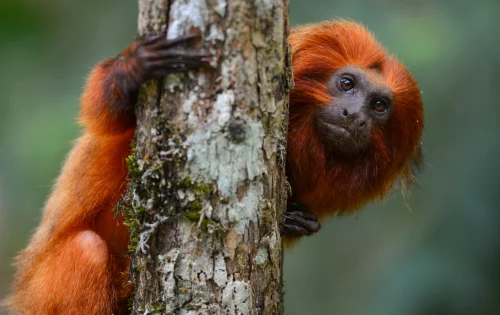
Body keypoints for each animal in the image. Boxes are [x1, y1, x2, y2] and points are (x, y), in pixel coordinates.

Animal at [5, 19, 424, 314]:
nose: (355, 117)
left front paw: (296, 219)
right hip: (38, 296)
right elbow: (101, 111)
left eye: (379, 106)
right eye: (347, 84)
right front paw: (132, 69)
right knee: (86, 251)